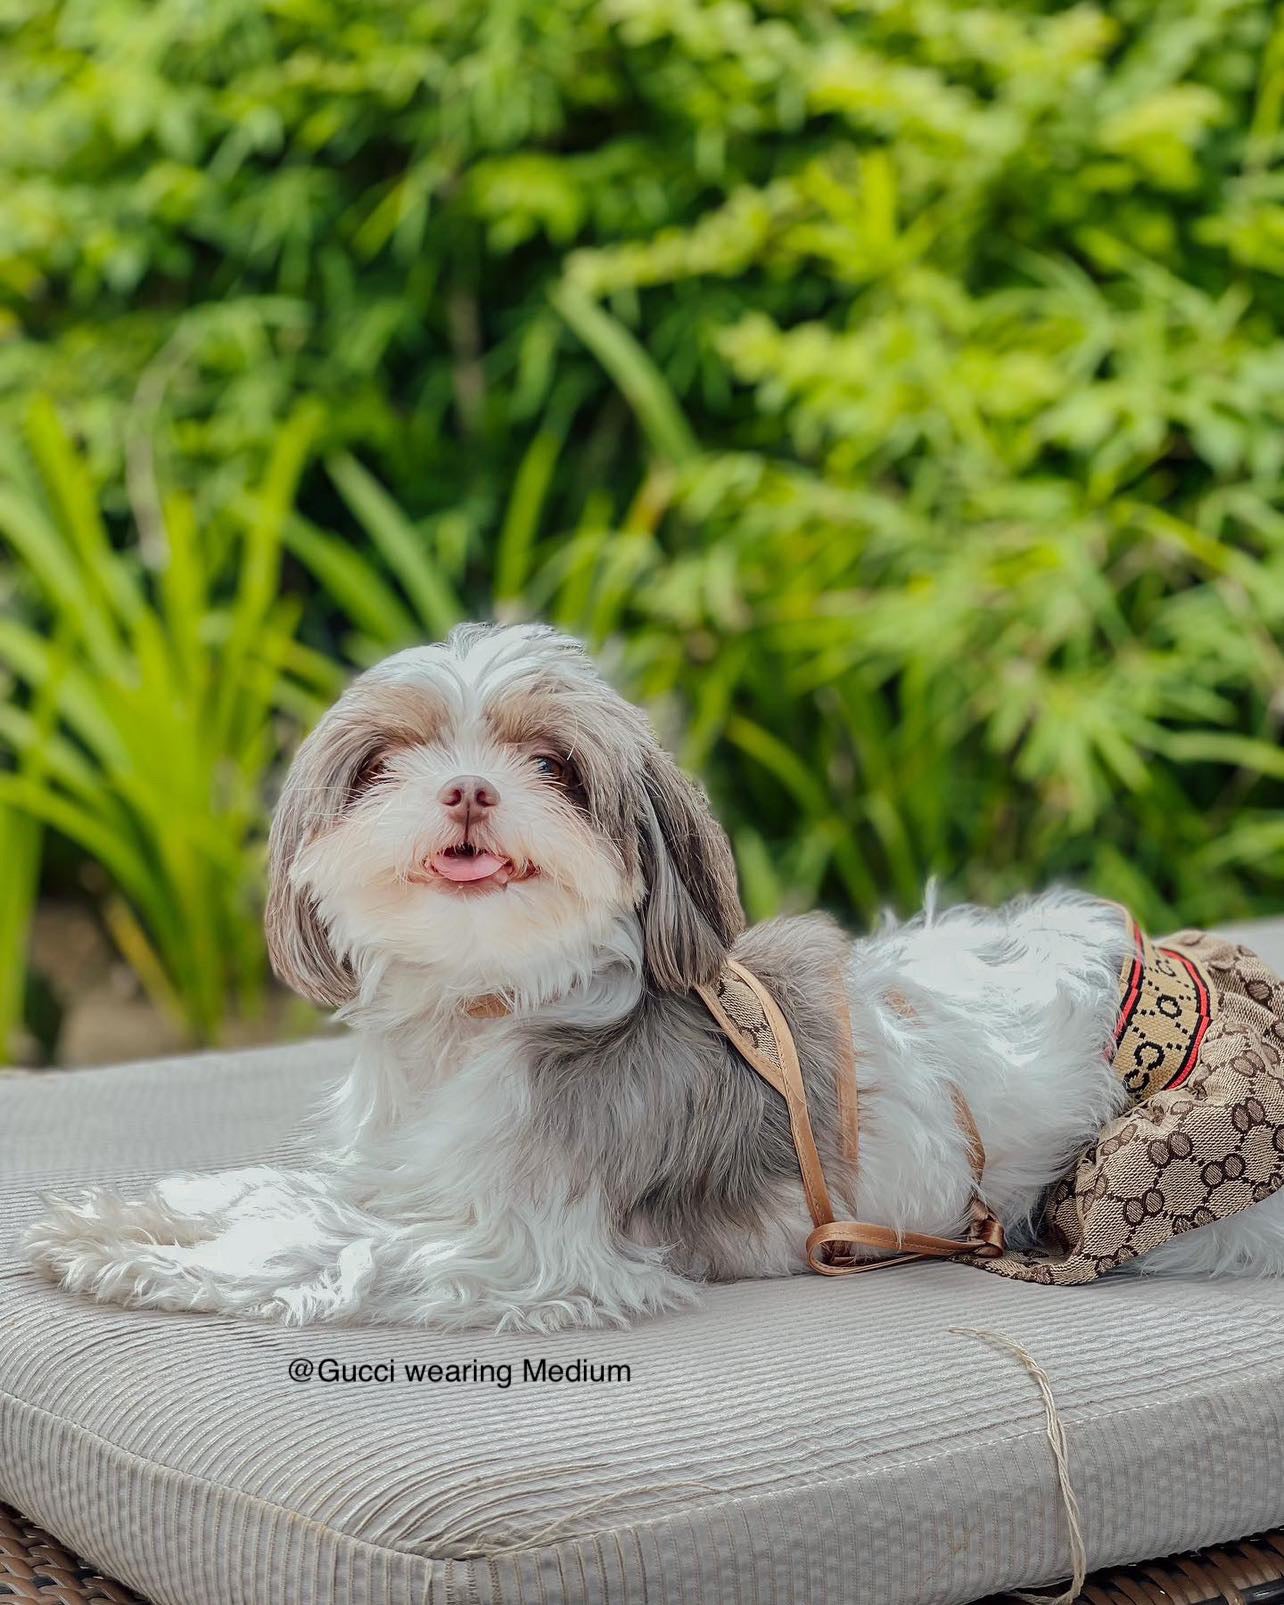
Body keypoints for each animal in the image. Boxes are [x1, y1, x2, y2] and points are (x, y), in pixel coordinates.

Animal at [25, 619, 1284, 1322]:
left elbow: (324, 1244)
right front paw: (125, 1219)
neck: (482, 1013)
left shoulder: (527, 1247)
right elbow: (271, 1191)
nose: (470, 789)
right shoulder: (399, 1170)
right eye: (385, 762)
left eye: (553, 765)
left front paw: (132, 1262)